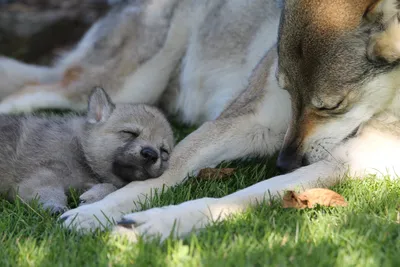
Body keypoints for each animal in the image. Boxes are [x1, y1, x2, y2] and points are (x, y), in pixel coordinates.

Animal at [1, 89, 173, 215]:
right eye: (129, 132)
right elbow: (50, 192)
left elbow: (111, 187)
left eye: (164, 151)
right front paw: (55, 207)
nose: (151, 154)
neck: (82, 151)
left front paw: (93, 196)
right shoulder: (41, 176)